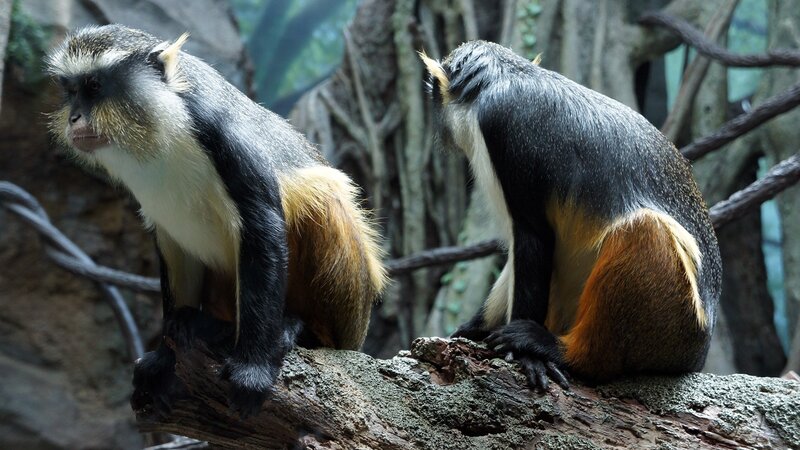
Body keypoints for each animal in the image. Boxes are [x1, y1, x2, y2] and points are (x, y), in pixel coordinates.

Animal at [47, 25, 387, 418]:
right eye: (71, 90)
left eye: (95, 86)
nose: (74, 118)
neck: (163, 124)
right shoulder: (167, 226)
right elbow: (175, 252)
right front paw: (164, 357)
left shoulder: (221, 134)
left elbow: (262, 225)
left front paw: (253, 370)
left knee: (324, 198)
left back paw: (299, 330)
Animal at [420, 41, 721, 390]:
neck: (503, 76)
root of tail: (700, 352)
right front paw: (473, 329)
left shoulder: (502, 125)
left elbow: (532, 236)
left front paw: (525, 356)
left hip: (677, 329)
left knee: (646, 230)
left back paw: (563, 351)